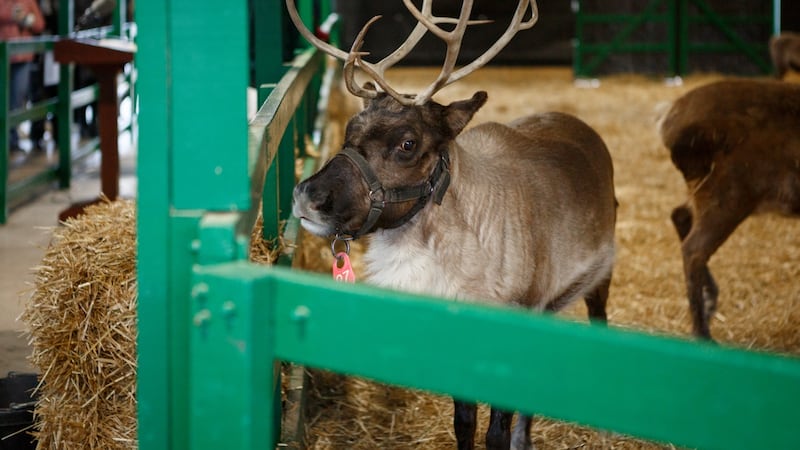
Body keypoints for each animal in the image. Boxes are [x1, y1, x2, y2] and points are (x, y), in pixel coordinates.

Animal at [288, 1, 618, 449]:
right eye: (350, 131)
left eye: (408, 143)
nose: (308, 195)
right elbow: (463, 423)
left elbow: (494, 432)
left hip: (602, 272)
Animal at [660, 78, 800, 340]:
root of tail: (668, 123)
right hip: (730, 194)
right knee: (694, 248)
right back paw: (703, 333)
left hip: (704, 189)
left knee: (680, 215)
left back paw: (710, 303)